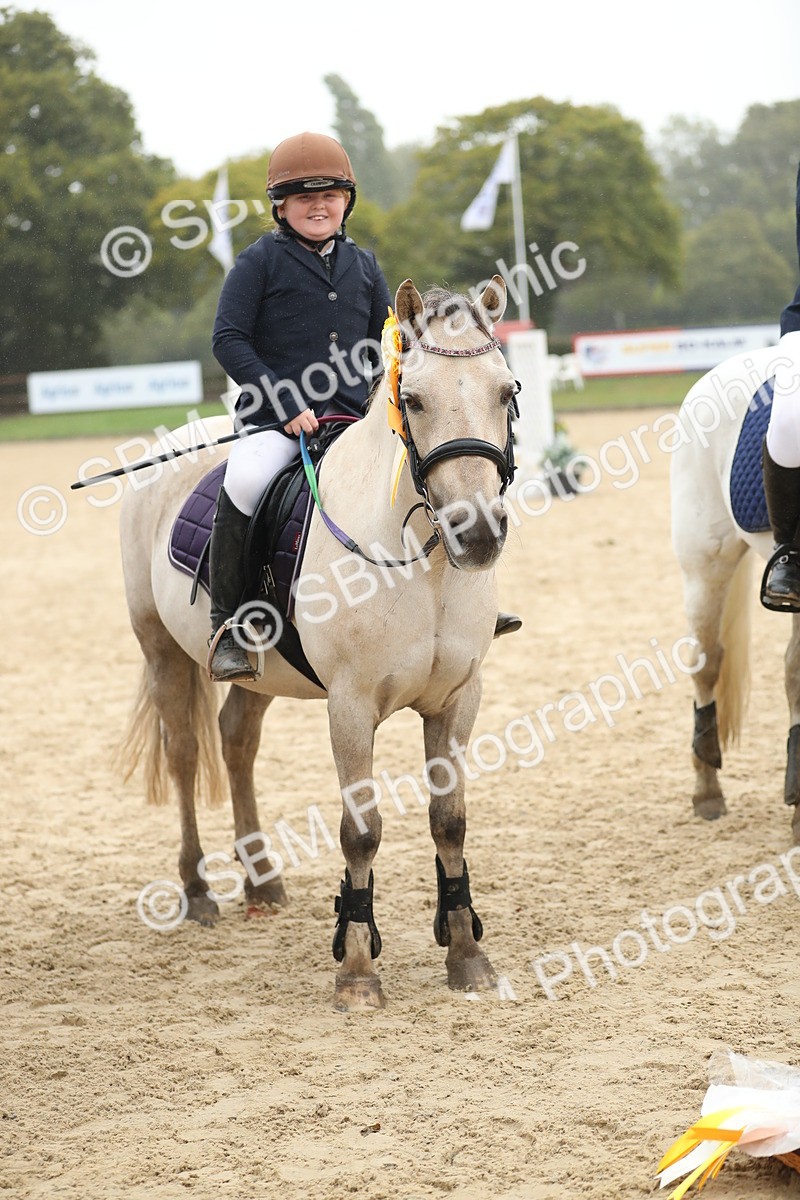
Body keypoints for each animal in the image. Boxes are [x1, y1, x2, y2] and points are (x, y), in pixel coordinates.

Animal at [118, 276, 520, 1010]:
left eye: (505, 391)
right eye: (414, 400)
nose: (476, 533)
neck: (422, 565)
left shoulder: (458, 698)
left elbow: (449, 821)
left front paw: (468, 957)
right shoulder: (351, 706)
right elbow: (360, 832)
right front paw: (357, 972)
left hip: (259, 673)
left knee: (236, 740)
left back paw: (261, 879)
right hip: (160, 651)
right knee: (185, 752)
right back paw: (197, 890)